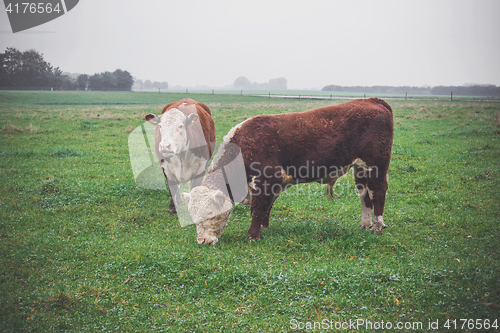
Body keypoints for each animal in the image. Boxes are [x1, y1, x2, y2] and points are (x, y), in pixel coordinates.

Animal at [181, 97, 394, 243]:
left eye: (209, 212)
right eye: (191, 213)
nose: (202, 241)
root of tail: (372, 100)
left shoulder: (267, 179)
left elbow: (258, 208)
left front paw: (252, 236)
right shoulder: (275, 184)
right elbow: (266, 207)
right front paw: (264, 229)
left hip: (376, 166)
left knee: (378, 192)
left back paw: (377, 227)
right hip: (360, 168)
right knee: (365, 195)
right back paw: (364, 225)